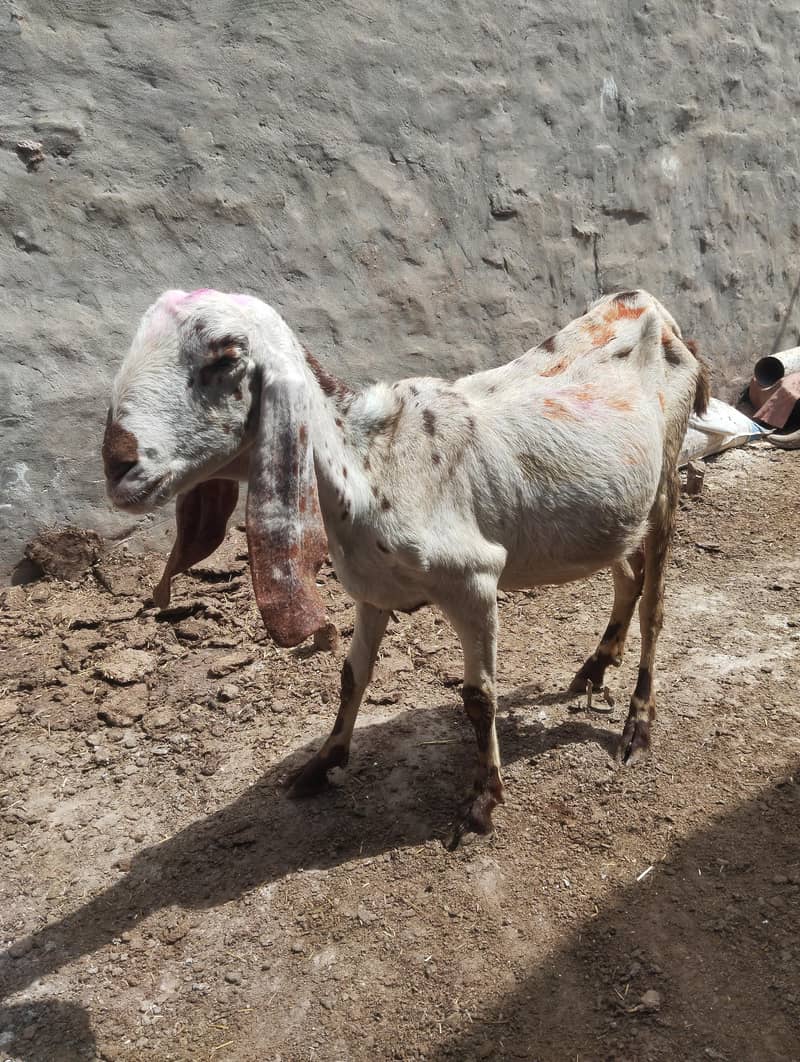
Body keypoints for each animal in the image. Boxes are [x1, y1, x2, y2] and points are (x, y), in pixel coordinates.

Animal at [103, 287, 709, 844]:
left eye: (226, 356)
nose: (116, 465)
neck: (369, 464)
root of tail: (649, 306)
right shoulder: (371, 591)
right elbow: (352, 677)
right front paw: (321, 765)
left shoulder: (474, 581)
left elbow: (478, 698)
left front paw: (482, 801)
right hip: (613, 517)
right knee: (627, 580)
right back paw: (595, 666)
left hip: (666, 483)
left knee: (654, 607)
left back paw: (637, 724)